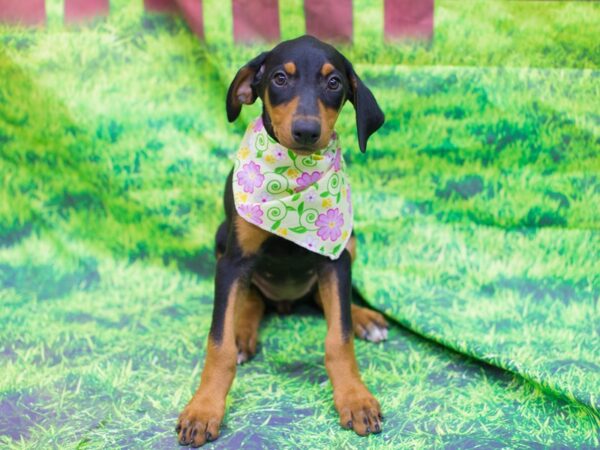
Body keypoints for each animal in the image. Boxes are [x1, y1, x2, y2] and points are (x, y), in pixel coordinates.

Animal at [176, 35, 386, 446]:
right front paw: (203, 409)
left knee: (324, 300)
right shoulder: (233, 260)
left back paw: (364, 318)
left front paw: (355, 399)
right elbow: (218, 343)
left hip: (349, 240)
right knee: (252, 299)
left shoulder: (335, 258)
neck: (291, 176)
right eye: (279, 78)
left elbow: (339, 338)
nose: (306, 131)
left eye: (334, 82)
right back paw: (243, 330)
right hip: (222, 238)